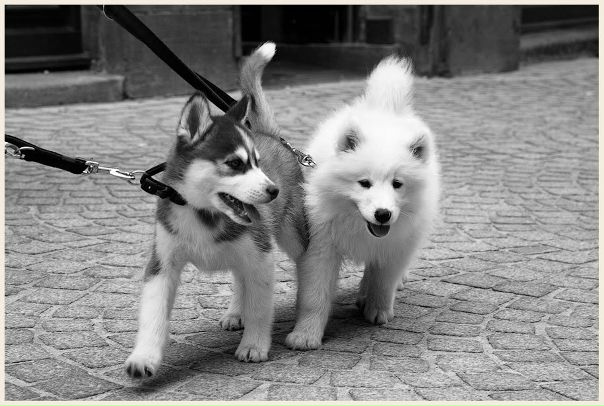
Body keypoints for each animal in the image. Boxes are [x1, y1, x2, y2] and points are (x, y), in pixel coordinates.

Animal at [125, 42, 308, 378]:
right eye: (235, 163)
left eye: (257, 163)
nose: (273, 190)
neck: (202, 213)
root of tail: (270, 134)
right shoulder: (162, 263)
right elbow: (153, 313)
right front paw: (144, 356)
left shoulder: (260, 254)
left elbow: (260, 306)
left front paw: (255, 345)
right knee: (240, 278)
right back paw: (237, 312)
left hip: (291, 234)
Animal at [285, 56, 440, 350]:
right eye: (364, 183)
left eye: (397, 184)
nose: (383, 214)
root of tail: (384, 107)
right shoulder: (321, 246)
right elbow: (315, 296)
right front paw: (305, 336)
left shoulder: (395, 246)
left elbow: (383, 282)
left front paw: (378, 311)